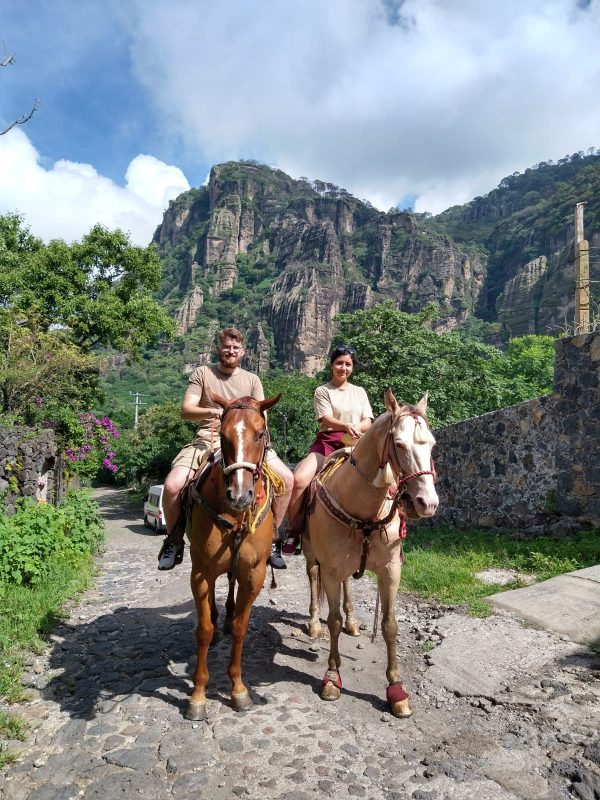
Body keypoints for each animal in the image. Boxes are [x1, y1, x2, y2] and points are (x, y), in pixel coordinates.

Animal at [185, 392, 282, 721]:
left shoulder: (254, 573)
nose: (240, 496)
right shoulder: (200, 572)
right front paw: (198, 695)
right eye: (224, 436)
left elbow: (241, 628)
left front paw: (238, 689)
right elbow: (202, 631)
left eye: (260, 434)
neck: (236, 515)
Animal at [302, 388, 438, 718]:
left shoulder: (390, 570)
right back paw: (313, 624)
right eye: (398, 444)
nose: (427, 503)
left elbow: (390, 626)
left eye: (432, 444)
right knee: (312, 577)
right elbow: (332, 620)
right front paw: (332, 677)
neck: (362, 511)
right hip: (312, 554)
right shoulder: (330, 569)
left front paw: (397, 690)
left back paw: (352, 621)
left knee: (348, 587)